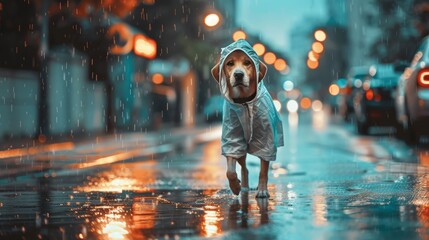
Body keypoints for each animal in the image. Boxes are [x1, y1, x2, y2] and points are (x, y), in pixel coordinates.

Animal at [211, 38, 284, 198]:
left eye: (247, 63)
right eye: (229, 63)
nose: (238, 74)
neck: (244, 102)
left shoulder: (266, 141)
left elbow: (263, 170)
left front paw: (262, 190)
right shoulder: (233, 138)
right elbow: (230, 171)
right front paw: (235, 186)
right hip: (242, 148)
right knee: (244, 167)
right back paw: (243, 186)